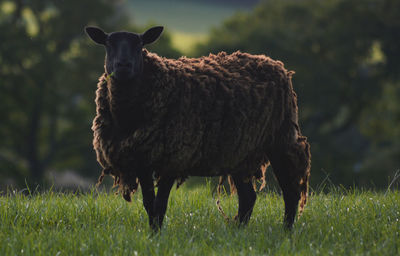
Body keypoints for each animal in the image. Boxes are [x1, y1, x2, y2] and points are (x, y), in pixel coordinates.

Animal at [84, 26, 310, 232]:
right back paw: (238, 232)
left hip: (279, 139)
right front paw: (152, 233)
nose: (123, 65)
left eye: (140, 44)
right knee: (248, 197)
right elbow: (149, 205)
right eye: (108, 43)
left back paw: (286, 231)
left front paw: (156, 236)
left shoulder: (172, 158)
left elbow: (160, 204)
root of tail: (274, 63)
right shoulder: (141, 160)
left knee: (290, 190)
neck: (128, 116)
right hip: (240, 151)